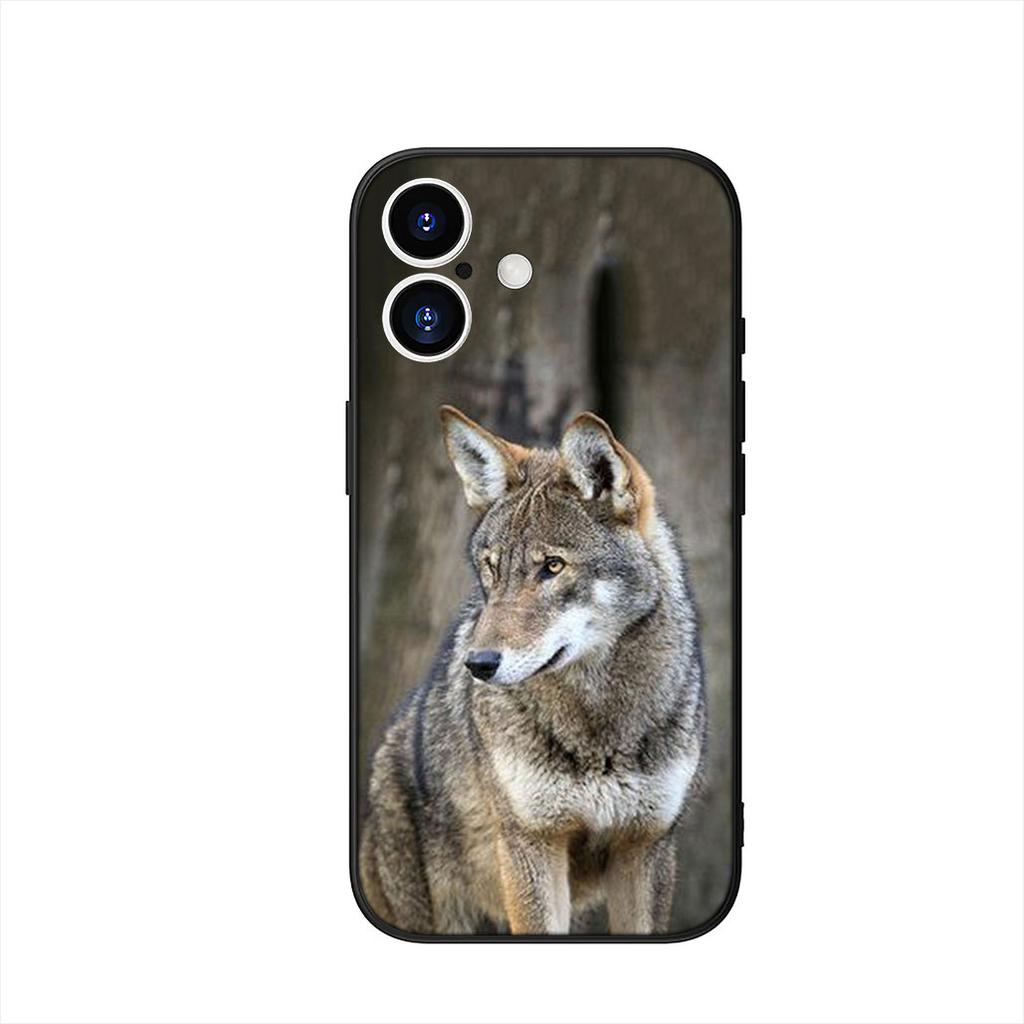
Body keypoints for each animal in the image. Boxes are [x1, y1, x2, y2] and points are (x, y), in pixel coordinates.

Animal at [359, 406, 706, 935]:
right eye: (491, 569)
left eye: (553, 567)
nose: (478, 664)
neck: (599, 727)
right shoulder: (532, 844)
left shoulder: (645, 848)